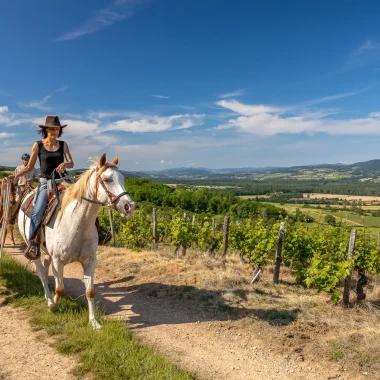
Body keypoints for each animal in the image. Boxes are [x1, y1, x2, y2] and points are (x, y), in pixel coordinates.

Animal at [18, 153, 137, 328]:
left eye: (122, 178)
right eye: (107, 179)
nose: (130, 206)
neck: (76, 222)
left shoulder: (89, 261)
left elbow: (90, 291)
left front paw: (94, 322)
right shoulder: (57, 261)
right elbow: (60, 288)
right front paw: (53, 306)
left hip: (46, 252)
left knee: (45, 271)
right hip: (34, 249)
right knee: (41, 273)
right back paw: (48, 299)